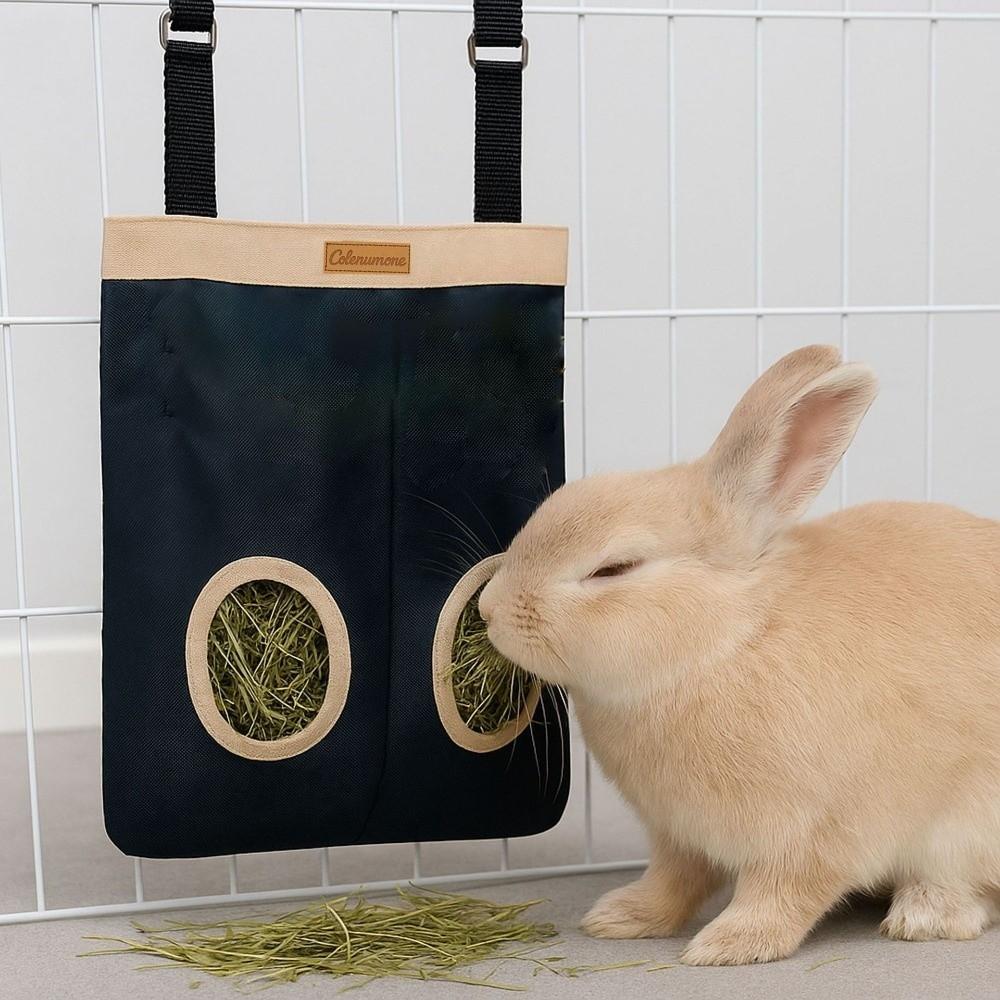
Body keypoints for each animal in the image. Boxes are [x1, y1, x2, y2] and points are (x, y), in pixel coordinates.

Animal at [478, 344, 1000, 966]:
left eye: (614, 569)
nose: (488, 609)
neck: (728, 641)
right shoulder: (677, 834)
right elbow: (673, 881)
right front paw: (620, 918)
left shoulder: (812, 833)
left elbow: (784, 894)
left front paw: (728, 946)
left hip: (967, 824)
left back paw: (923, 914)